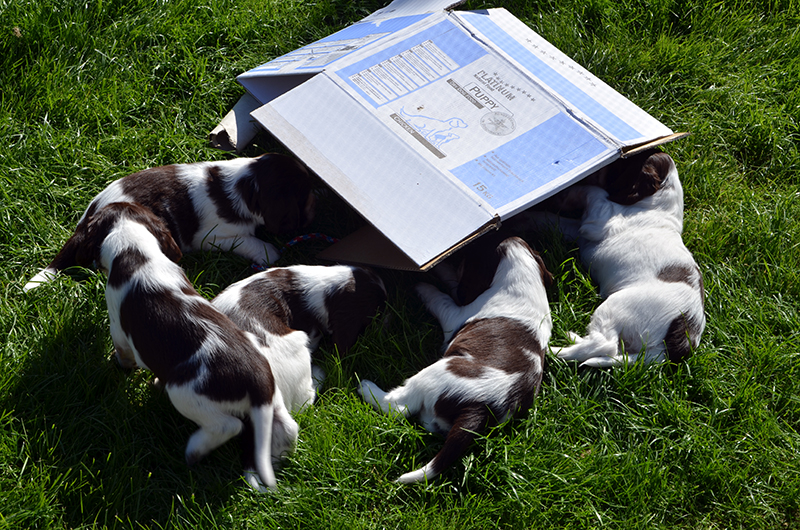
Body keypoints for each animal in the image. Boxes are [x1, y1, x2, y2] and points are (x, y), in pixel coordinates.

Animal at [25, 153, 314, 290]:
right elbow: (250, 240)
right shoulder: (211, 237)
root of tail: (86, 221)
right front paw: (269, 251)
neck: (246, 185)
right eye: (304, 195)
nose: (316, 208)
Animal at [72, 200, 296, 488]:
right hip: (273, 399)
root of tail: (257, 382)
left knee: (228, 426)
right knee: (285, 429)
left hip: (185, 394)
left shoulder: (118, 328)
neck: (136, 250)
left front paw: (119, 366)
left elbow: (123, 353)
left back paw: (194, 450)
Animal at [360, 236, 552, 482]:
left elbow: (441, 297)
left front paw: (422, 285)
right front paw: (440, 266)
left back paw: (366, 387)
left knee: (397, 407)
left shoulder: (456, 314)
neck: (524, 278)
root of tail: (480, 410)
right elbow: (451, 281)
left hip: (432, 374)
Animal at [544, 147, 708, 364]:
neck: (658, 206)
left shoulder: (602, 218)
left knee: (604, 344)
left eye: (622, 163)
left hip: (616, 306)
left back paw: (555, 349)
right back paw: (573, 339)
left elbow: (596, 192)